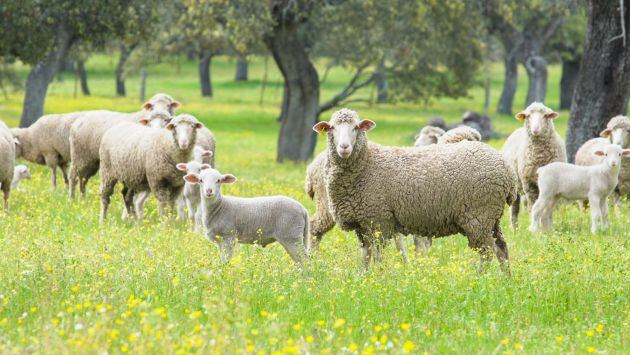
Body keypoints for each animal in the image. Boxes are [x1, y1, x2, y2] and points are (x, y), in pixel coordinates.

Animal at [183, 167, 312, 264]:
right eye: (200, 180)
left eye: (218, 180)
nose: (209, 191)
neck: (220, 207)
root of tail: (303, 209)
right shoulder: (220, 240)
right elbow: (222, 259)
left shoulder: (229, 236)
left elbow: (226, 260)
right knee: (299, 260)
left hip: (291, 235)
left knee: (304, 260)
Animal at [314, 108, 516, 272]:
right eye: (332, 128)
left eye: (356, 127)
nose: (344, 147)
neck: (366, 163)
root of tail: (507, 170)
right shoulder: (362, 224)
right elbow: (366, 256)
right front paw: (364, 277)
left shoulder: (378, 220)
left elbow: (378, 256)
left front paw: (379, 278)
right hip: (491, 217)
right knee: (502, 248)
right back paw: (506, 280)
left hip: (479, 215)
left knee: (486, 251)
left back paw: (481, 277)